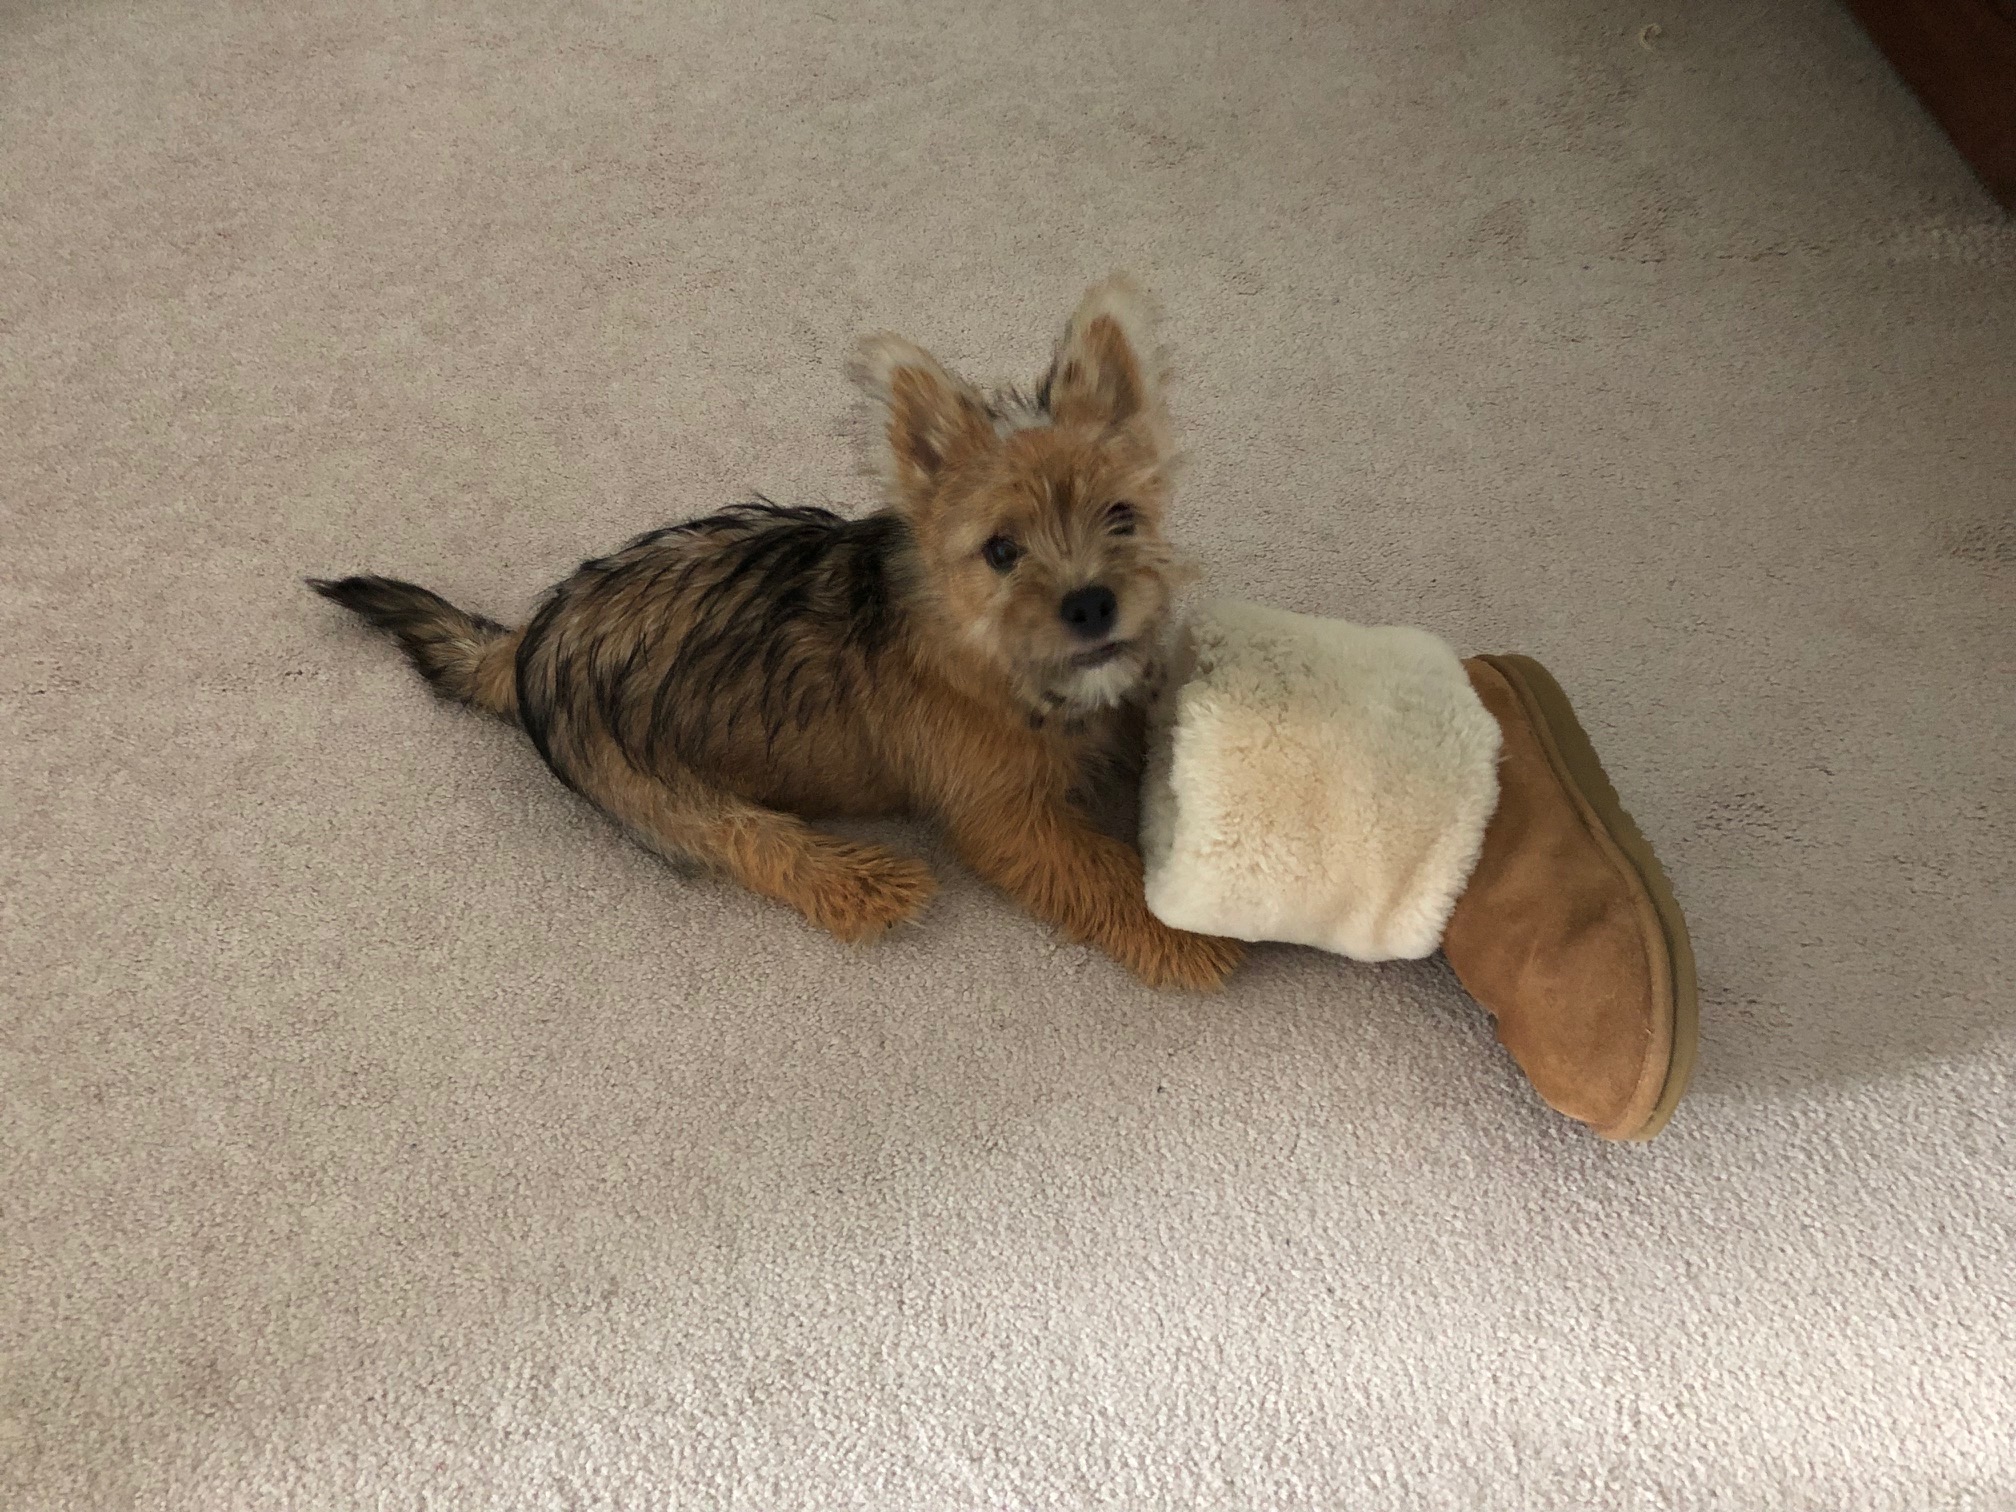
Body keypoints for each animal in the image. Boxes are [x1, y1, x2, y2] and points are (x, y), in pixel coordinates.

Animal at [310, 277, 1244, 990]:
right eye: (1002, 551)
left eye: (1122, 516)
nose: (1091, 605)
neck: (990, 659)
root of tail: (529, 640)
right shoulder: (1007, 819)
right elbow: (1103, 873)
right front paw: (1182, 930)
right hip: (661, 794)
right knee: (755, 844)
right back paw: (866, 882)